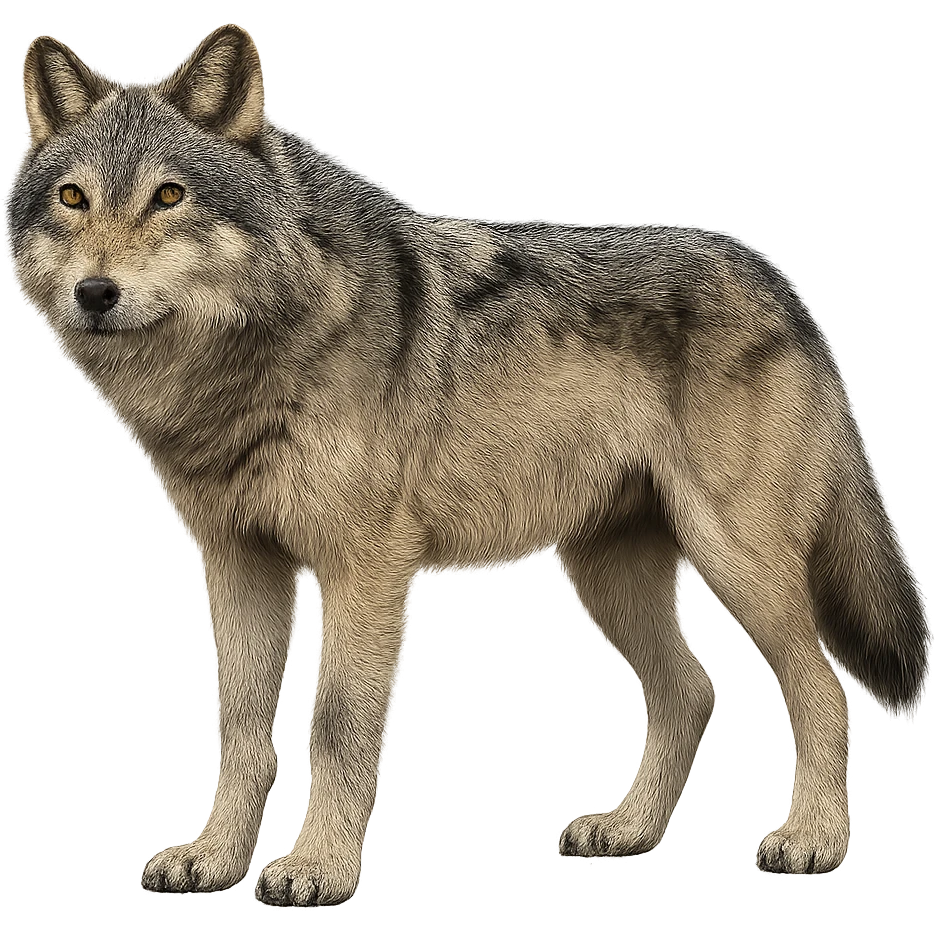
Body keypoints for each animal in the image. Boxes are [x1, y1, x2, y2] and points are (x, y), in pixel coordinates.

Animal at [8, 23, 929, 905]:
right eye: (72, 198)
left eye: (169, 196)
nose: (95, 293)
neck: (255, 357)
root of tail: (780, 283)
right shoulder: (237, 564)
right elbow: (238, 724)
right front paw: (212, 857)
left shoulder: (364, 568)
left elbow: (335, 722)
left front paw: (317, 868)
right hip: (603, 575)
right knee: (693, 690)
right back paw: (627, 829)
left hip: (734, 560)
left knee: (822, 686)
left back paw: (810, 840)